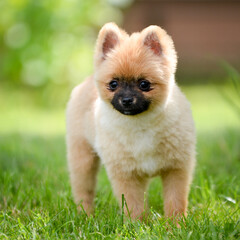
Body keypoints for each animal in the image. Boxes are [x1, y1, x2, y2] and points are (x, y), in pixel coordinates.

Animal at [65, 22, 195, 219]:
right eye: (113, 84)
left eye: (144, 84)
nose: (126, 100)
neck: (141, 125)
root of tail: (86, 82)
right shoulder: (126, 174)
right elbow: (133, 205)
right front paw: (137, 224)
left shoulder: (176, 169)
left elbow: (175, 202)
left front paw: (176, 224)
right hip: (82, 159)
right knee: (83, 190)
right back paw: (85, 215)